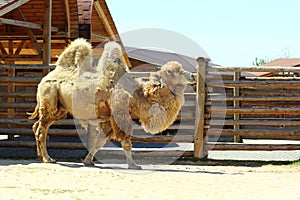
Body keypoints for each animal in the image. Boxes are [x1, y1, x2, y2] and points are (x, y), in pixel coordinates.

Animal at [28, 38, 197, 170]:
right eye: (172, 71)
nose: (193, 75)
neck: (137, 96)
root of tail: (46, 78)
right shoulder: (121, 115)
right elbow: (126, 141)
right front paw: (133, 165)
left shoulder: (109, 120)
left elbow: (99, 142)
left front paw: (88, 161)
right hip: (49, 99)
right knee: (41, 129)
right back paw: (48, 159)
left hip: (60, 109)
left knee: (38, 126)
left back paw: (41, 156)